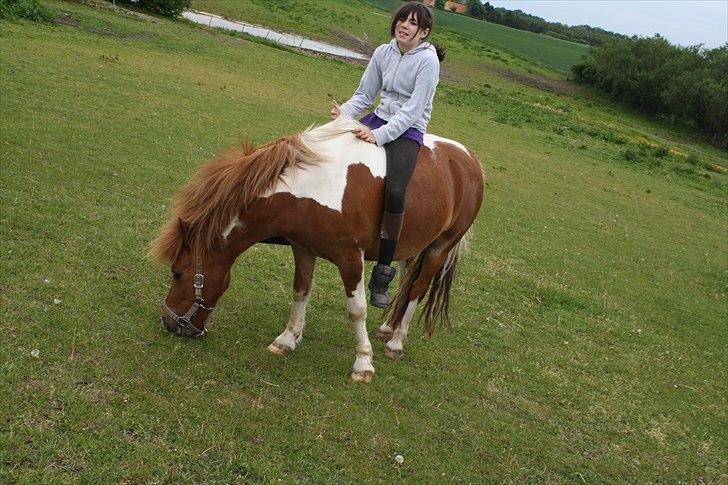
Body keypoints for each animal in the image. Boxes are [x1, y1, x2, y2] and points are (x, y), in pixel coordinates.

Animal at [149, 114, 483, 382]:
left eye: (177, 273)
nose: (169, 323)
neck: (316, 186)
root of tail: (468, 158)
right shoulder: (303, 248)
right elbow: (300, 291)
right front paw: (286, 340)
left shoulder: (351, 258)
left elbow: (357, 310)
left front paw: (363, 363)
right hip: (413, 245)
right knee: (405, 284)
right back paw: (389, 327)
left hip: (440, 246)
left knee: (418, 289)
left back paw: (396, 342)